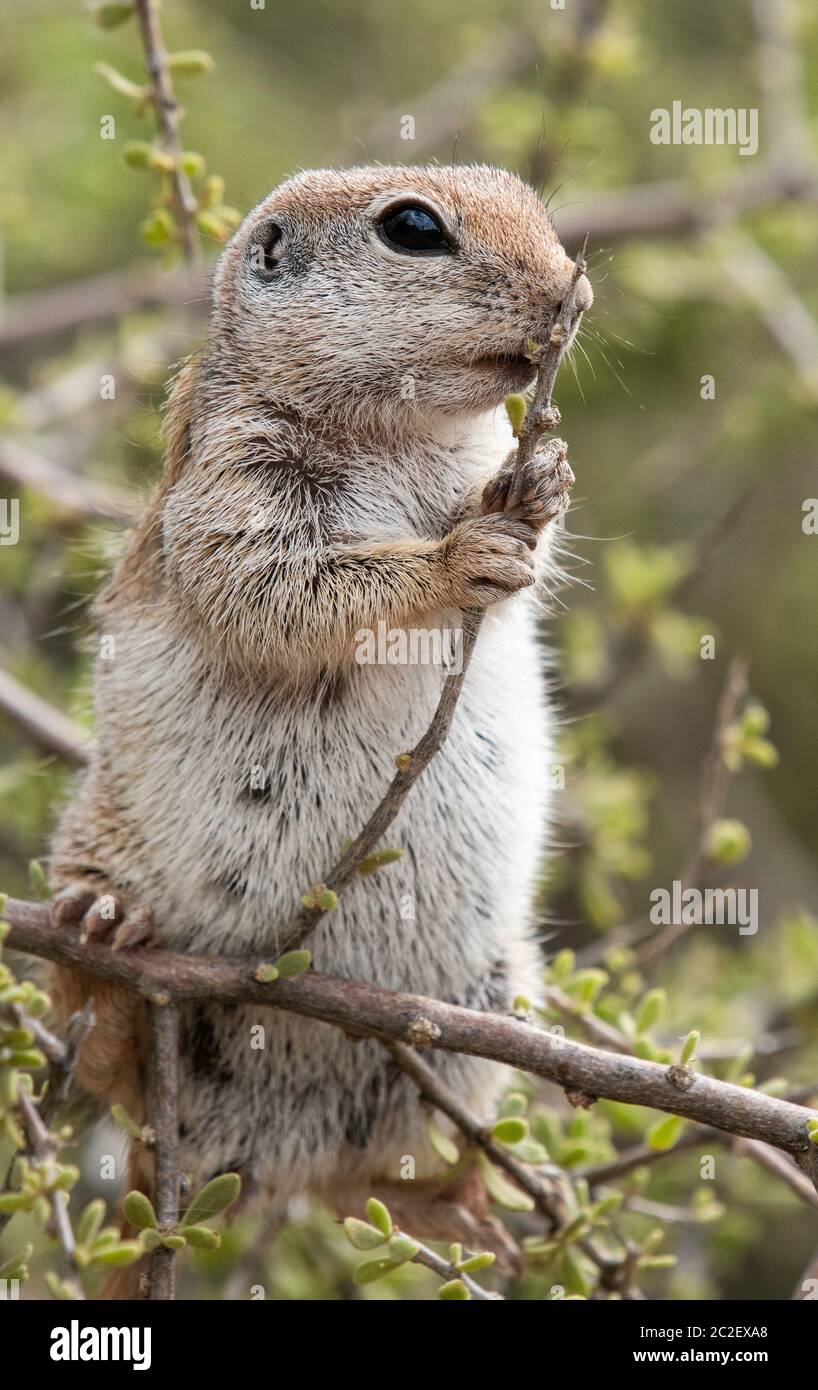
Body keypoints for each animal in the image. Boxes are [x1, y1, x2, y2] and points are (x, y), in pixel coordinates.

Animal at [47, 164, 591, 1291]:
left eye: (524, 194)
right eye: (413, 228)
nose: (572, 286)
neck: (405, 434)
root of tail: (220, 1152)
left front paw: (538, 483)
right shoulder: (237, 479)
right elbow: (278, 590)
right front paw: (459, 556)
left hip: (476, 1018)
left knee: (358, 1180)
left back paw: (467, 1216)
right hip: (98, 851)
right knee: (106, 1060)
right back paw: (104, 944)